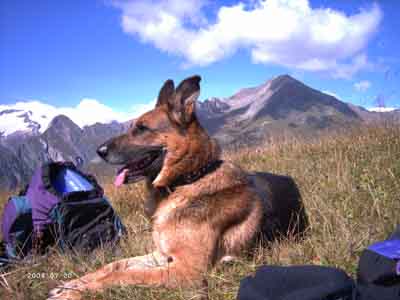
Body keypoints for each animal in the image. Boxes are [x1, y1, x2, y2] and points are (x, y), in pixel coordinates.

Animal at [48, 76, 308, 298]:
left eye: (142, 128)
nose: (99, 151)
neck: (188, 180)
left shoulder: (187, 271)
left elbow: (125, 273)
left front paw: (76, 293)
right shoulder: (162, 254)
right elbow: (115, 264)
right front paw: (71, 284)